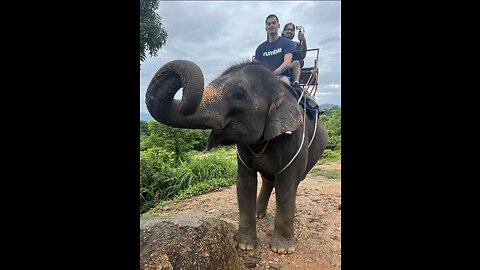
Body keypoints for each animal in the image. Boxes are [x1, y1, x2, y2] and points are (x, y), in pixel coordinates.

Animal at [144, 59, 328, 255]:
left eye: (239, 95)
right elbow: (244, 184)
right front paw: (245, 245)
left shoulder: (295, 140)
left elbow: (286, 185)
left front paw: (282, 250)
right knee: (268, 180)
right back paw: (259, 214)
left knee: (294, 182)